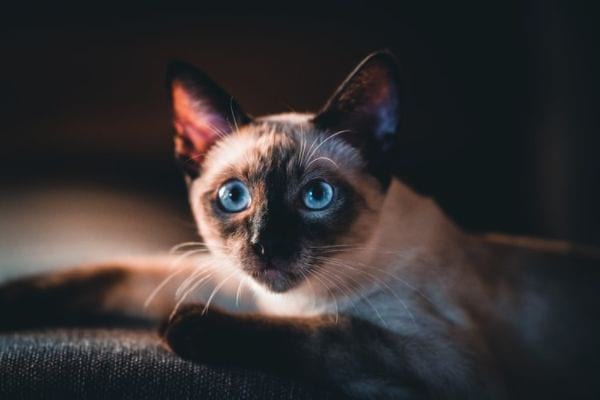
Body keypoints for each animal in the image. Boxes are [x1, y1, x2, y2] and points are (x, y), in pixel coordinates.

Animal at [1, 50, 600, 400]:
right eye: (234, 197)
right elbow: (108, 272)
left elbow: (334, 333)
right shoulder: (226, 278)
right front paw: (13, 299)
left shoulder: (448, 367)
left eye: (316, 197)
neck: (289, 302)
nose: (266, 245)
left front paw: (188, 325)